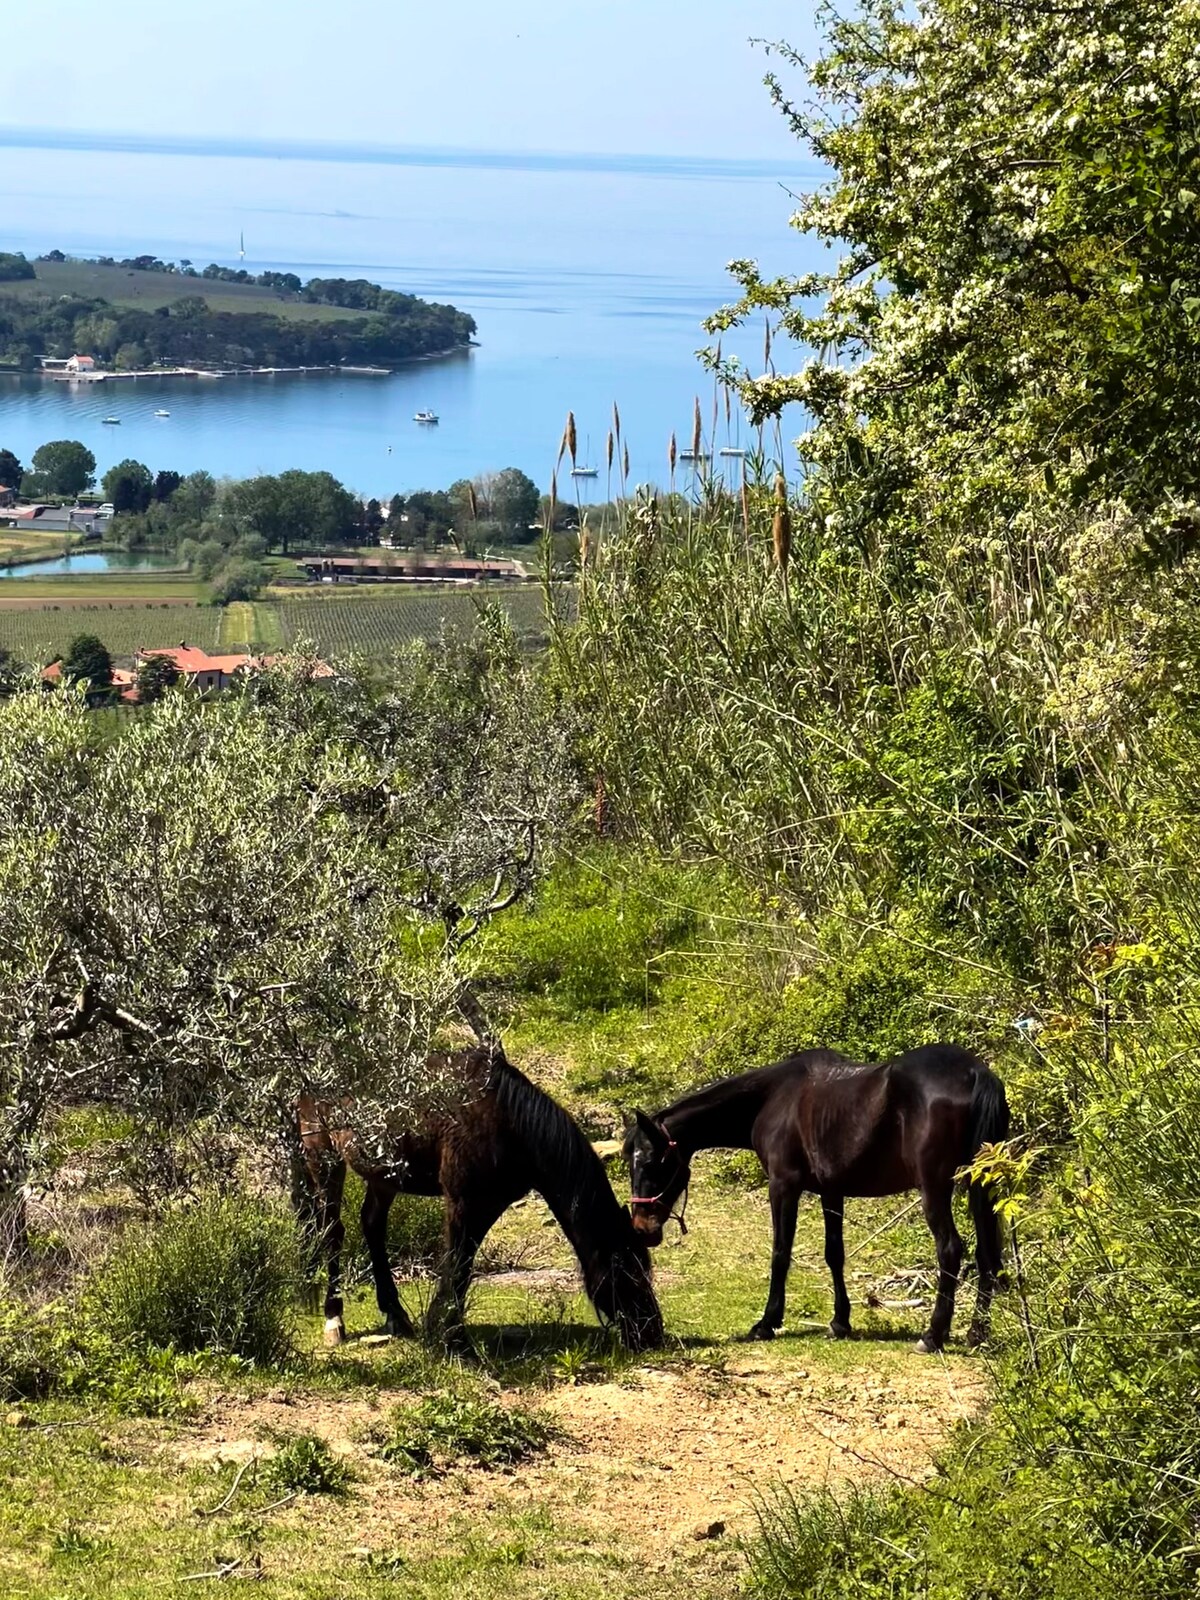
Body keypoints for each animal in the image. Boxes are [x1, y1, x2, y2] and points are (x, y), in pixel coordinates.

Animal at [294, 1043, 662, 1356]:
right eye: (626, 1270)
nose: (651, 1332)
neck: (509, 1121)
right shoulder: (462, 1202)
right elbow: (457, 1266)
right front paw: (451, 1338)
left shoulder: (490, 1203)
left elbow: (464, 1268)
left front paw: (446, 1331)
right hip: (323, 1159)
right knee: (332, 1232)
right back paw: (334, 1320)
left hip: (383, 1175)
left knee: (372, 1225)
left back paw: (395, 1314)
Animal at [624, 1049, 1011, 1350]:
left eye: (650, 1162)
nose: (641, 1227)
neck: (774, 1099)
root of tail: (976, 1072)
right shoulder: (832, 1190)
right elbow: (834, 1253)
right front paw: (840, 1321)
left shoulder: (783, 1186)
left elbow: (781, 1253)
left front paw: (766, 1323)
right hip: (981, 1185)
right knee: (987, 1253)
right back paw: (977, 1333)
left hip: (934, 1188)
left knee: (950, 1249)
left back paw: (933, 1335)